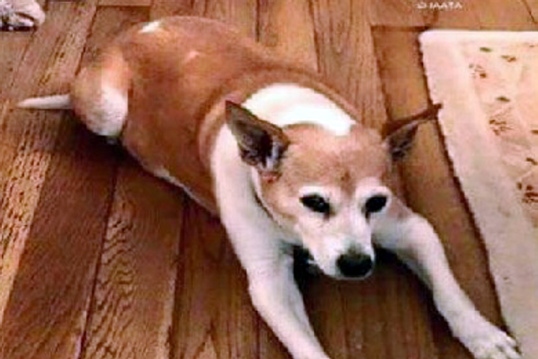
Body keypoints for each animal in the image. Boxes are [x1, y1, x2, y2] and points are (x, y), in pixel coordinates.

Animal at [18, 16, 516, 359]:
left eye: (376, 202)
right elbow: (305, 345)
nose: (357, 265)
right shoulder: (270, 281)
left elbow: (449, 289)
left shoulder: (410, 229)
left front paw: (485, 336)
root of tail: (131, 32)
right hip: (107, 107)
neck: (301, 119)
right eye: (313, 202)